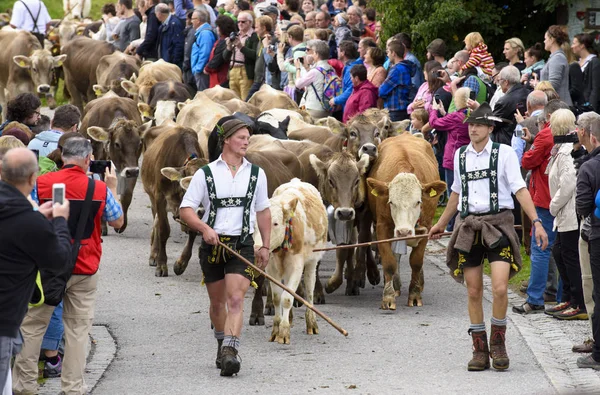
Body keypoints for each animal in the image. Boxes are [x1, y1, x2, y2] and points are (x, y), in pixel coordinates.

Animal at [81, 95, 152, 235]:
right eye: (117, 144)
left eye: (139, 143)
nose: (132, 171)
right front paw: (102, 226)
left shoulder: (132, 167)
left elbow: (127, 195)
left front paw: (121, 224)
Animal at [142, 127, 207, 278]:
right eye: (192, 183)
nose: (202, 211)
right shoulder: (159, 197)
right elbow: (163, 230)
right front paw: (161, 265)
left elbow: (193, 230)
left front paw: (181, 264)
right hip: (152, 198)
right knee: (156, 222)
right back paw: (154, 255)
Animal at [366, 135, 446, 310]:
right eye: (391, 202)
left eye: (418, 202)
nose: (404, 231)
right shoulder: (383, 227)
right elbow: (389, 262)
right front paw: (388, 297)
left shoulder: (427, 227)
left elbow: (416, 261)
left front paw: (415, 295)